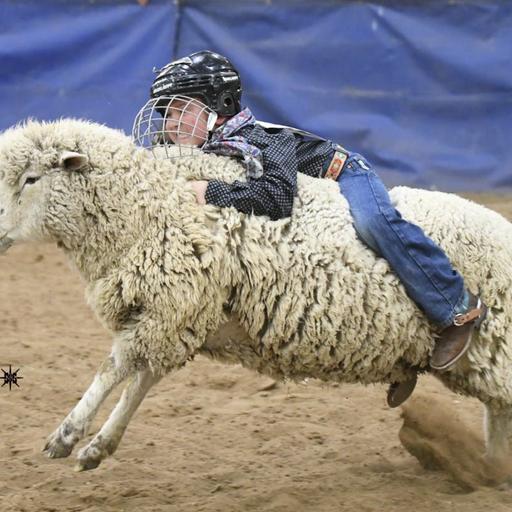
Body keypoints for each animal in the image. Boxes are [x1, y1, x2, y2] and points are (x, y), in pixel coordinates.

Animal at [0, 119, 510, 472]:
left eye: (30, 179)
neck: (147, 203)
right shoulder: (178, 319)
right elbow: (141, 380)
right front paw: (97, 448)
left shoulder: (173, 305)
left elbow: (115, 369)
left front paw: (66, 436)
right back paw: (489, 470)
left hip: (496, 346)